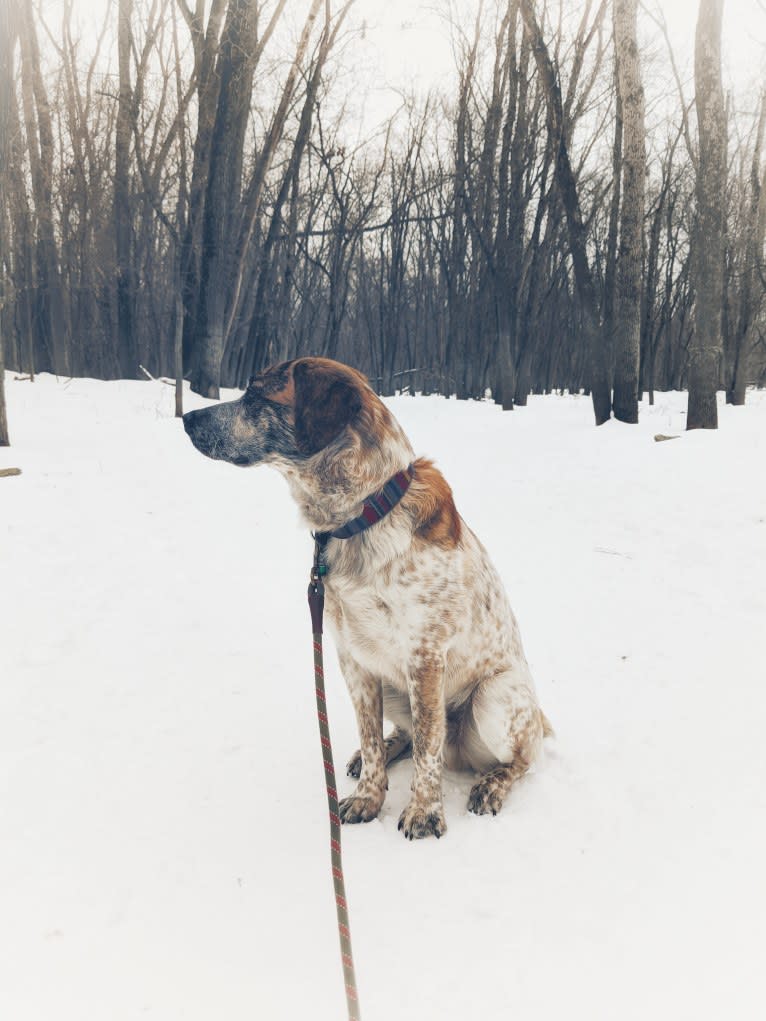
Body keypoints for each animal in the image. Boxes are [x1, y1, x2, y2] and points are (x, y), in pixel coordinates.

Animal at [184, 359, 551, 837]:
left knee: (517, 760)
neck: (364, 515)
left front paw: (424, 811)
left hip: (495, 697)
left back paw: (492, 785)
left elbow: (428, 749)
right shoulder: (352, 657)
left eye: (256, 395)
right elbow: (371, 735)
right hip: (396, 687)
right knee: (405, 736)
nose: (187, 418)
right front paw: (368, 798)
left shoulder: (425, 657)